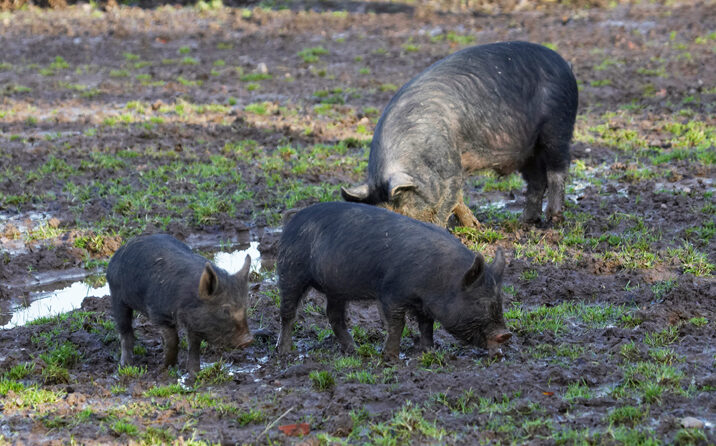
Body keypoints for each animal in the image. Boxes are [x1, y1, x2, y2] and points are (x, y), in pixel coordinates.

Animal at [106, 234, 253, 373]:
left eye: (245, 307)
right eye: (225, 310)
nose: (248, 340)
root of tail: (120, 251)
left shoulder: (195, 322)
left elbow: (194, 345)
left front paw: (195, 372)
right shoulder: (158, 313)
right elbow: (173, 340)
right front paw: (165, 369)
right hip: (117, 296)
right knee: (125, 330)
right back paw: (126, 365)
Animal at [275, 202, 511, 359]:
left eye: (500, 301)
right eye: (480, 303)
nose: (506, 334)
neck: (441, 280)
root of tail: (294, 217)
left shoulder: (423, 303)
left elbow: (427, 324)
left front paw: (429, 351)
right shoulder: (390, 293)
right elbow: (398, 323)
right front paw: (390, 357)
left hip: (336, 289)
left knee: (334, 315)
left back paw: (353, 350)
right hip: (291, 271)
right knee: (288, 312)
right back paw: (285, 352)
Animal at [341, 41, 578, 227]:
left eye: (405, 207)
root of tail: (564, 64)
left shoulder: (450, 164)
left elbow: (451, 197)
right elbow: (459, 199)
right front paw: (474, 227)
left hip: (558, 125)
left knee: (558, 170)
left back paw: (554, 220)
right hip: (527, 149)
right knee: (536, 179)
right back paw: (525, 221)